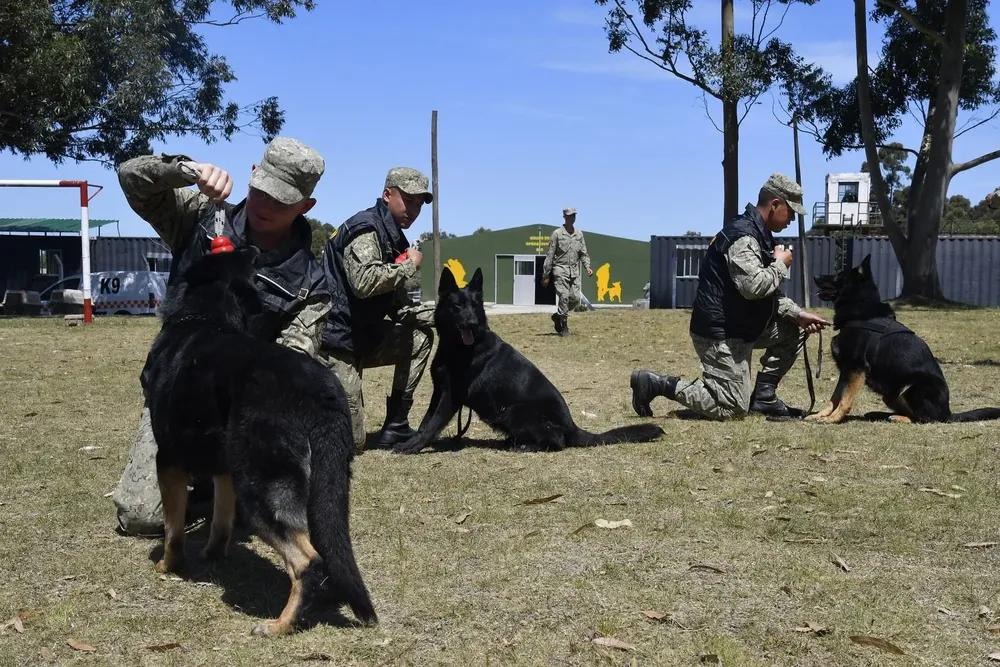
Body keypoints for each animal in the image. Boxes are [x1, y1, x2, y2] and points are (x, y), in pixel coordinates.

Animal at [140, 247, 376, 636]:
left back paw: (280, 625)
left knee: (307, 561)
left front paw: (167, 566)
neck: (203, 318)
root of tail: (319, 391)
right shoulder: (225, 471)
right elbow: (220, 520)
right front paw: (214, 554)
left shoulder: (169, 460)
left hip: (260, 492)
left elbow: (174, 529)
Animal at [390, 266, 664, 454]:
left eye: (475, 305)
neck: (457, 347)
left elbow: (434, 422)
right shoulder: (439, 390)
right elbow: (427, 420)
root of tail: (572, 426)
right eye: (458, 306)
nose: (472, 323)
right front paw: (414, 440)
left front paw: (414, 446)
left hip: (514, 410)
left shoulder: (451, 396)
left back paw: (525, 445)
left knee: (557, 442)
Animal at [808, 253, 1000, 426]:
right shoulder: (846, 370)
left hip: (913, 388)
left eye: (838, 275)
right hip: (890, 393)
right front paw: (820, 415)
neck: (861, 309)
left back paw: (899, 418)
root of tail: (948, 413)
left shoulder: (855, 368)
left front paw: (833, 419)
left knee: (925, 419)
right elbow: (835, 398)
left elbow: (845, 399)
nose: (815, 276)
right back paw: (884, 415)